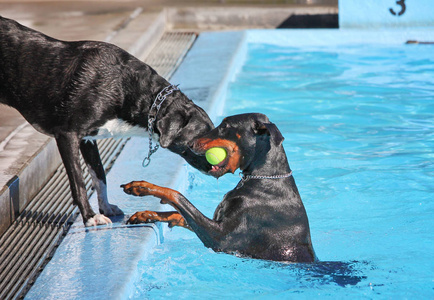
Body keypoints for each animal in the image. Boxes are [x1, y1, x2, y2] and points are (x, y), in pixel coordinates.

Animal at [0, 16, 214, 226]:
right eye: (200, 141)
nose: (217, 169)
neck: (124, 88)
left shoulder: (87, 139)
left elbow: (100, 175)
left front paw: (106, 207)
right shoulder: (67, 135)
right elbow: (79, 182)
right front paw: (89, 216)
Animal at [122, 113, 316, 262]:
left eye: (226, 126)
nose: (189, 145)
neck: (265, 178)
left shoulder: (220, 238)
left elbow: (177, 196)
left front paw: (143, 187)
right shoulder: (216, 223)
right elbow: (180, 213)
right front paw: (146, 215)